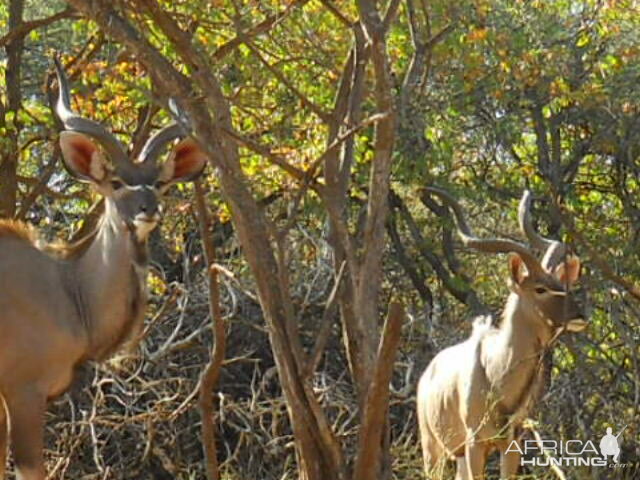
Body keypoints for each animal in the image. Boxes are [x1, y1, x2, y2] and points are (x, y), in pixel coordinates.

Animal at [418, 188, 588, 480]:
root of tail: (425, 376)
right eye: (540, 288)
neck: (496, 372)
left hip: (458, 456)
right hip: (434, 450)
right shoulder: (476, 444)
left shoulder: (512, 443)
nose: (579, 316)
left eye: (562, 284)